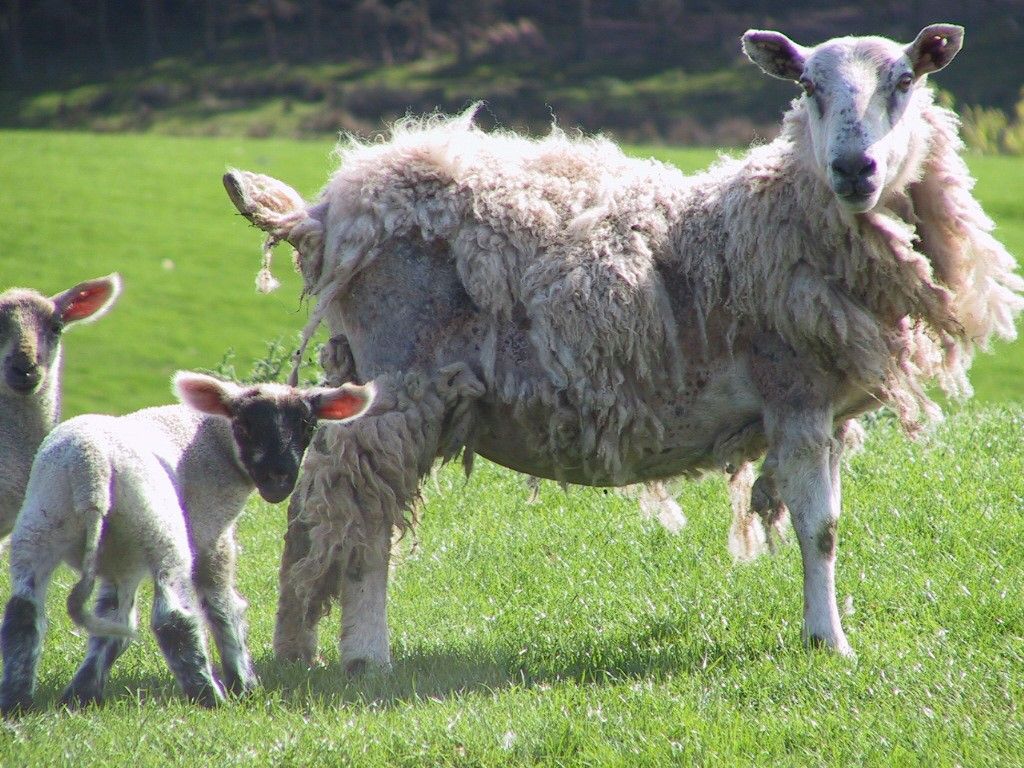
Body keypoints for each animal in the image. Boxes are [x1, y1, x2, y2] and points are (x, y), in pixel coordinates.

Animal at [0, 372, 374, 714]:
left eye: (307, 425)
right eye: (244, 425)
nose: (279, 479)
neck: (213, 439)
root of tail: (90, 471)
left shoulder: (122, 559)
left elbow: (112, 620)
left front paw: (82, 695)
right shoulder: (210, 533)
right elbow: (222, 606)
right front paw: (244, 684)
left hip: (40, 524)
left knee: (23, 613)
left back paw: (17, 701)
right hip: (161, 530)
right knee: (172, 619)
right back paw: (208, 696)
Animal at [222, 24, 1023, 671]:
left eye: (905, 79)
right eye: (807, 85)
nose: (855, 168)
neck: (778, 215)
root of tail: (327, 211)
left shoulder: (824, 411)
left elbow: (824, 526)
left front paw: (822, 632)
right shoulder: (791, 393)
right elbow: (818, 529)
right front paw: (829, 643)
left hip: (356, 370)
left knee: (312, 517)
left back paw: (297, 650)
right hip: (399, 381)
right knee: (361, 516)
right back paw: (366, 657)